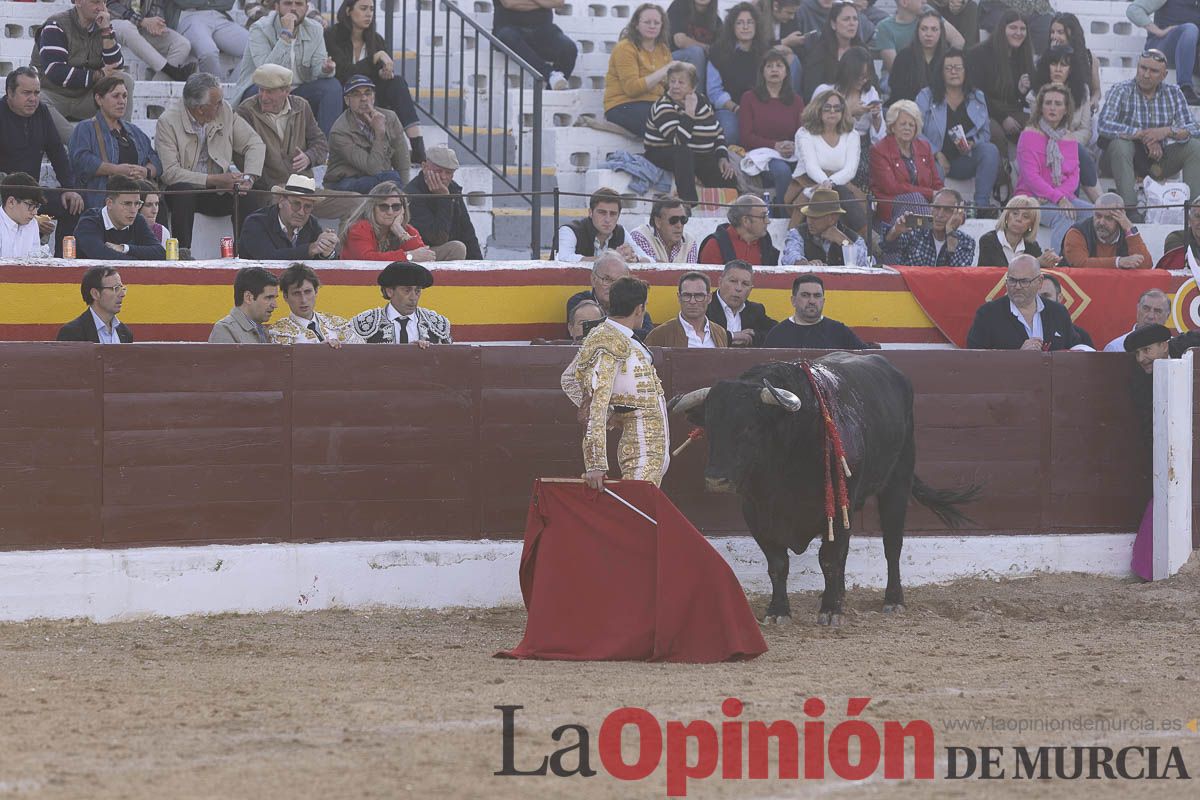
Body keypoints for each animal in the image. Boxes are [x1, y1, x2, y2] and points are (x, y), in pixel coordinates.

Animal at [672, 355, 979, 623]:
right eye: (710, 427)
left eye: (749, 427)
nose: (716, 479)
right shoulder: (755, 513)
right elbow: (778, 564)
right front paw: (778, 612)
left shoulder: (839, 506)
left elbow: (829, 559)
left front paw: (831, 611)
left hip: (897, 482)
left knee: (892, 544)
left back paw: (893, 600)